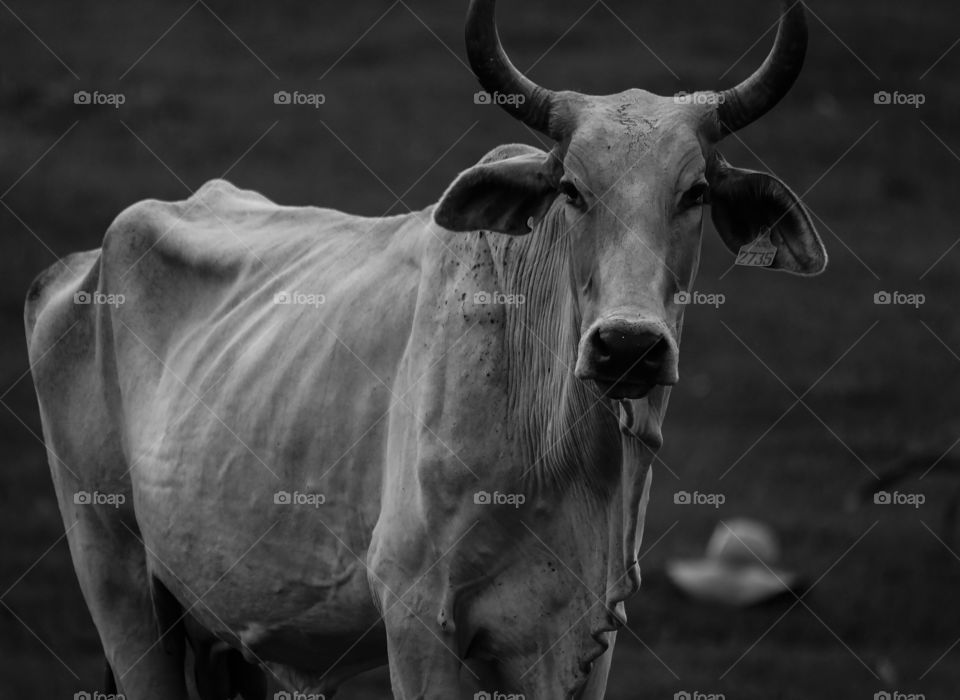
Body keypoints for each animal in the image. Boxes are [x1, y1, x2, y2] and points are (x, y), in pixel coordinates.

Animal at [25, 0, 826, 698]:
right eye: (571, 188)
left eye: (695, 193)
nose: (627, 346)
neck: (563, 449)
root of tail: (78, 266)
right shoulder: (416, 618)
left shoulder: (581, 641)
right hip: (116, 573)